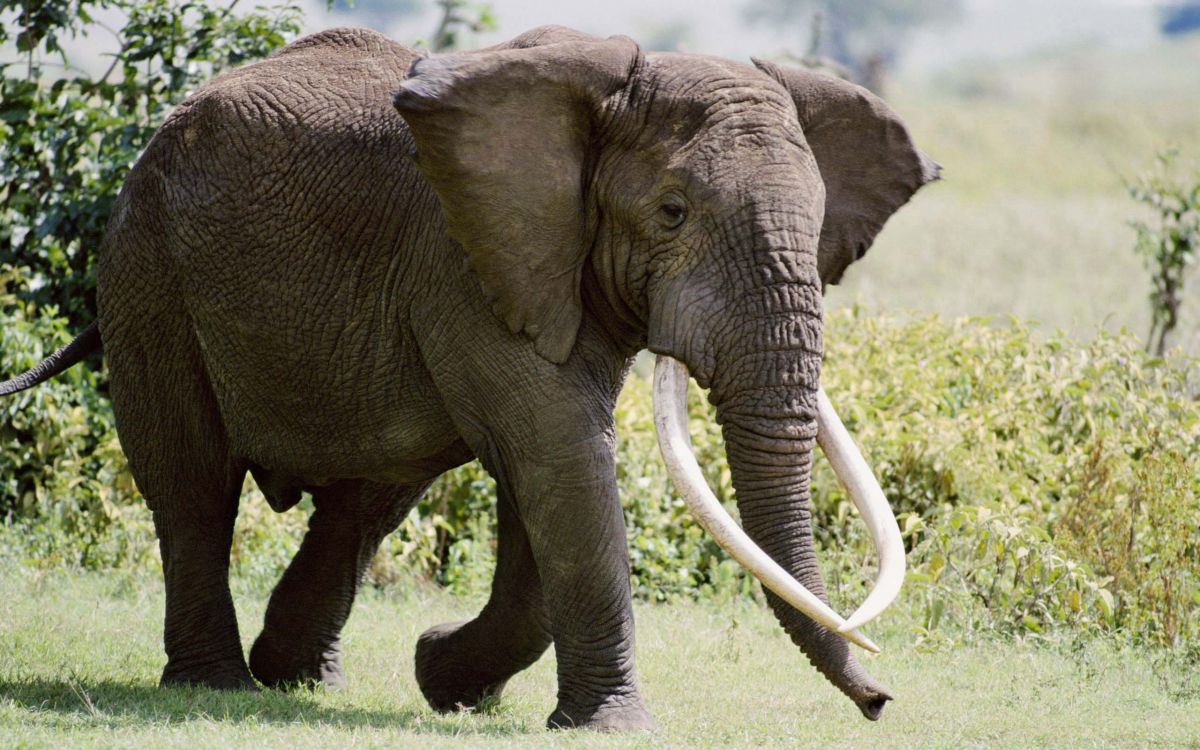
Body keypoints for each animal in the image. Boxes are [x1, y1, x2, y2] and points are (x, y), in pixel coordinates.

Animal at [0, 24, 936, 729]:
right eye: (672, 212)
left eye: (817, 227)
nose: (882, 701)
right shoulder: (467, 259)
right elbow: (562, 460)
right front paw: (598, 725)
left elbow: (549, 482)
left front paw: (443, 678)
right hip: (149, 272)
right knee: (193, 483)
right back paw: (218, 685)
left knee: (367, 499)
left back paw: (300, 680)